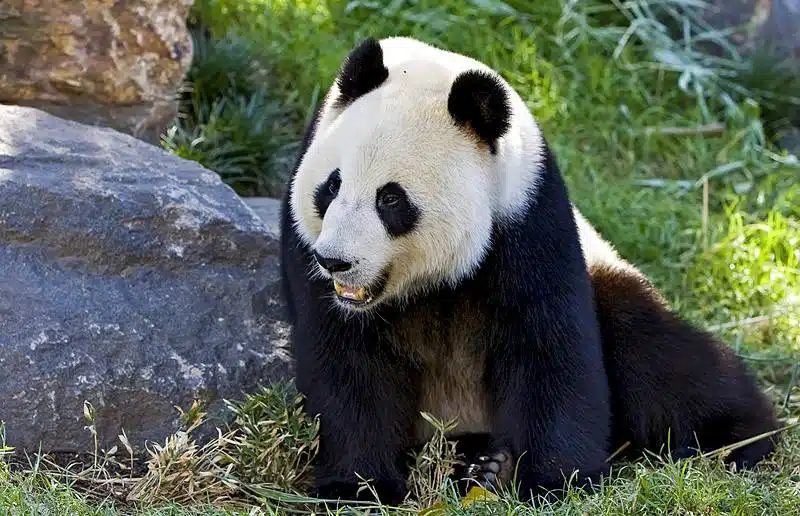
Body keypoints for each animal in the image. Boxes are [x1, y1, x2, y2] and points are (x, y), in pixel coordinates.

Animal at [276, 37, 780, 508]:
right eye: (332, 186)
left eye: (391, 199)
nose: (335, 260)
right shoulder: (306, 248)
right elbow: (346, 366)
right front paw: (357, 486)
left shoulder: (528, 218)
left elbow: (549, 349)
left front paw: (557, 482)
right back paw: (482, 464)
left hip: (609, 278)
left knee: (657, 358)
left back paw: (736, 439)